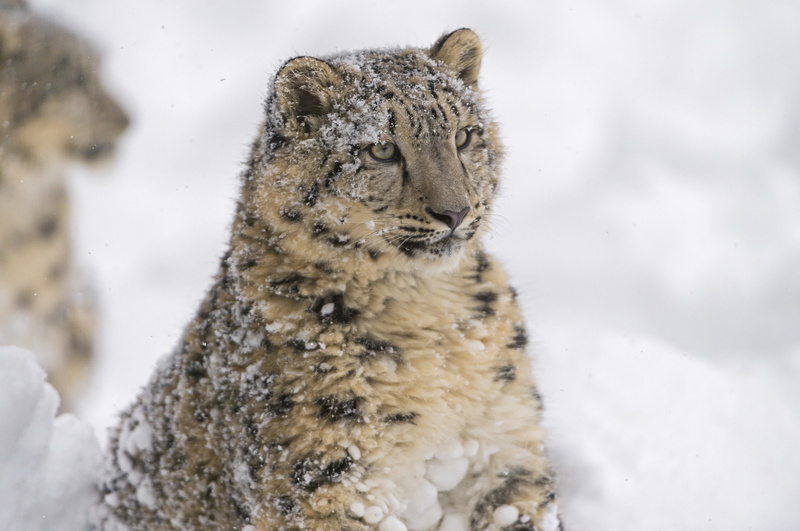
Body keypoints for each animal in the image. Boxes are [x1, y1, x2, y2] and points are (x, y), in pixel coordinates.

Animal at [99, 29, 563, 531]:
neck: (430, 315)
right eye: (381, 148)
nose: (455, 211)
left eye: (463, 135)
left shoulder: (505, 440)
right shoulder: (322, 472)